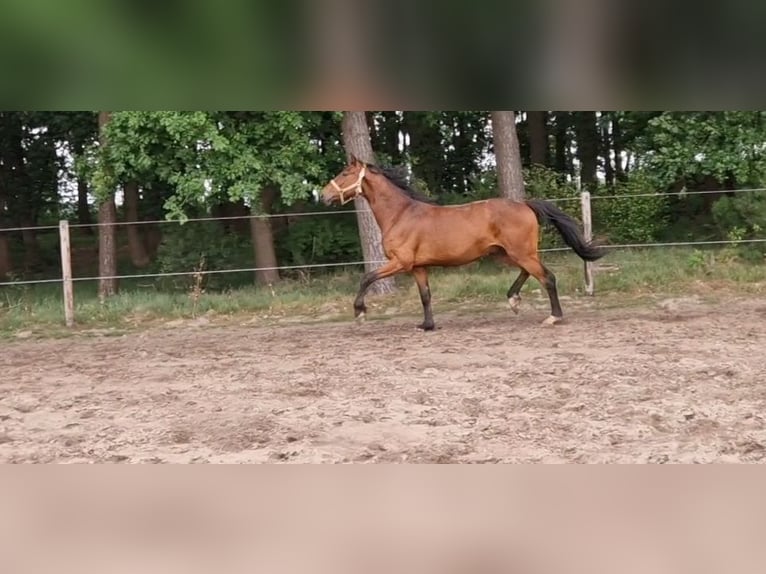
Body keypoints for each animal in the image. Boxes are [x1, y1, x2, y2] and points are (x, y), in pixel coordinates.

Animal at [320, 155, 605, 330]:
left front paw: (359, 312)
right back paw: (513, 300)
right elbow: (425, 296)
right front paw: (427, 326)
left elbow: (366, 278)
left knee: (548, 278)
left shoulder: (400, 262)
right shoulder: (418, 267)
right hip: (506, 253)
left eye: (345, 173)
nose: (323, 195)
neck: (400, 214)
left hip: (520, 253)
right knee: (528, 273)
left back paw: (553, 317)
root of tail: (525, 204)